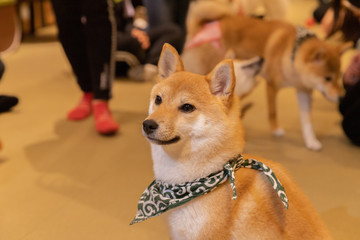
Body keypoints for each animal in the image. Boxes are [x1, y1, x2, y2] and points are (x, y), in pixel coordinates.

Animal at [183, 0, 352, 150]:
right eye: (327, 78)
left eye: (339, 76)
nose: (342, 97)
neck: (290, 53)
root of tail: (202, 25)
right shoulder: (271, 86)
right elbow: (273, 111)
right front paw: (276, 130)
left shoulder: (303, 91)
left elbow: (307, 121)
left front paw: (311, 141)